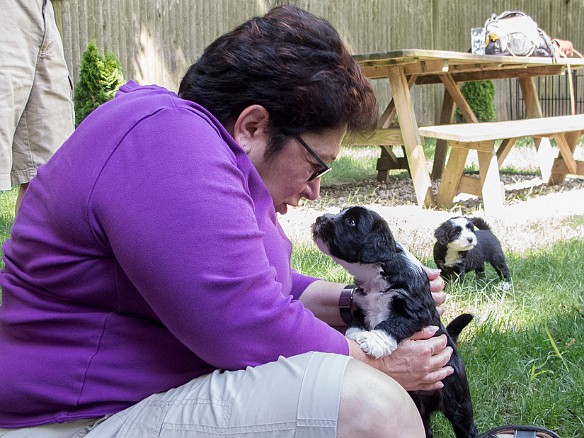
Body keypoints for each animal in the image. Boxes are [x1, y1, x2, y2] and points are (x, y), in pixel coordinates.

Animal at [312, 206, 476, 438]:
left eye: (352, 222)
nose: (320, 218)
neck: (377, 271)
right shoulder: (360, 303)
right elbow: (358, 319)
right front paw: (355, 334)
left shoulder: (415, 311)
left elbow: (392, 324)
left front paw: (374, 341)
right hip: (419, 409)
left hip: (457, 400)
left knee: (466, 425)